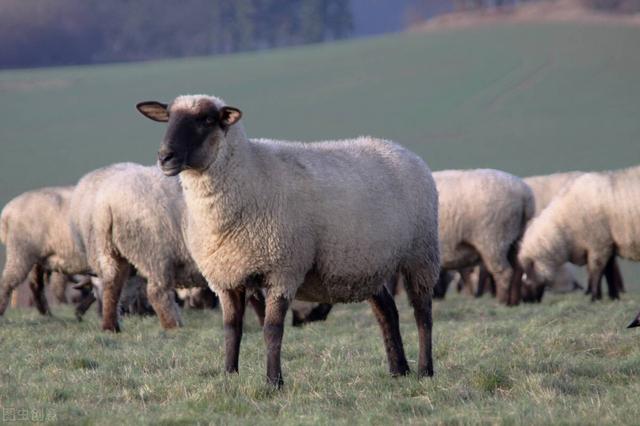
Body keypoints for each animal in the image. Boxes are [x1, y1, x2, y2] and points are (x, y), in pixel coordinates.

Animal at [0, 186, 90, 316]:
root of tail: (7, 211)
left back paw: (47, 312)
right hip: (21, 252)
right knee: (8, 282)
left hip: (37, 258)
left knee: (36, 284)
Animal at [136, 95, 440, 388]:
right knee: (387, 312)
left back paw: (424, 371)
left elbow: (272, 330)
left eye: (207, 120)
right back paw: (398, 370)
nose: (165, 157)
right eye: (168, 117)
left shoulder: (282, 270)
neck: (250, 174)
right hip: (367, 265)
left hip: (420, 254)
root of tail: (402, 150)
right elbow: (231, 329)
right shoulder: (227, 276)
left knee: (423, 314)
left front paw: (273, 382)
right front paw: (229, 376)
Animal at [436, 168, 536, 304]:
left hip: (493, 238)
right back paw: (513, 302)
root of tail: (525, 195)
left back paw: (501, 302)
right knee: (517, 269)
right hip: (516, 236)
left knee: (504, 272)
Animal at [520, 165, 640, 302]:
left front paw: (594, 297)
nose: (526, 300)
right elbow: (608, 272)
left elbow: (596, 271)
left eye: (526, 277)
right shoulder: (607, 243)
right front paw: (612, 296)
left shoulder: (598, 244)